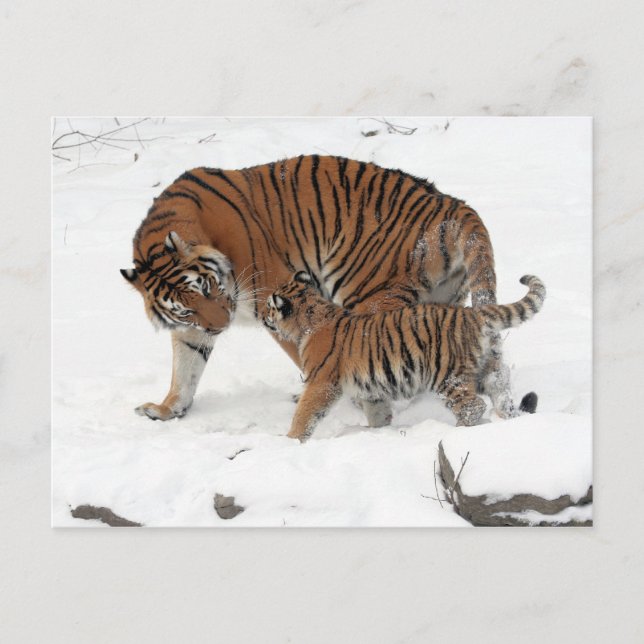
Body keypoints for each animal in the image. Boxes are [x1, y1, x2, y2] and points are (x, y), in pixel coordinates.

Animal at [121, 155, 521, 426]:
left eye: (206, 286)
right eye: (184, 308)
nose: (222, 326)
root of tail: (454, 205)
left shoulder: (275, 295)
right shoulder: (192, 329)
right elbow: (185, 368)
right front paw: (167, 409)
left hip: (368, 294)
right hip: (441, 300)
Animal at [263, 272, 545, 441]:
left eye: (269, 307)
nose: (264, 317)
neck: (310, 319)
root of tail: (472, 314)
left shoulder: (321, 382)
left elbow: (305, 413)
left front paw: (290, 440)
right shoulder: (371, 388)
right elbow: (377, 412)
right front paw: (377, 431)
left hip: (447, 376)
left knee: (472, 405)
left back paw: (455, 432)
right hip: (488, 369)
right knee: (502, 393)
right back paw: (509, 420)